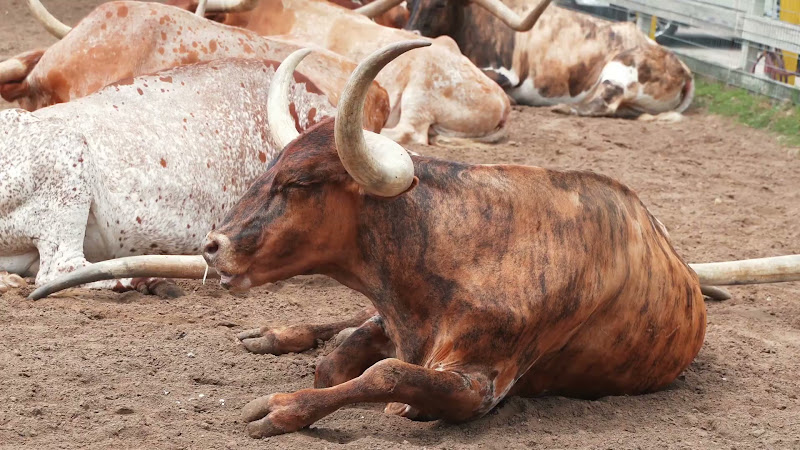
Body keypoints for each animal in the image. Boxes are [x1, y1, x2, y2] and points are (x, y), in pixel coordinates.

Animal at [391, 0, 694, 119]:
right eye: (410, 3)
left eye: (440, 4)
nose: (410, 32)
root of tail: (684, 68)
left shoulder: (506, 73)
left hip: (622, 66)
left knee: (603, 103)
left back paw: (564, 107)